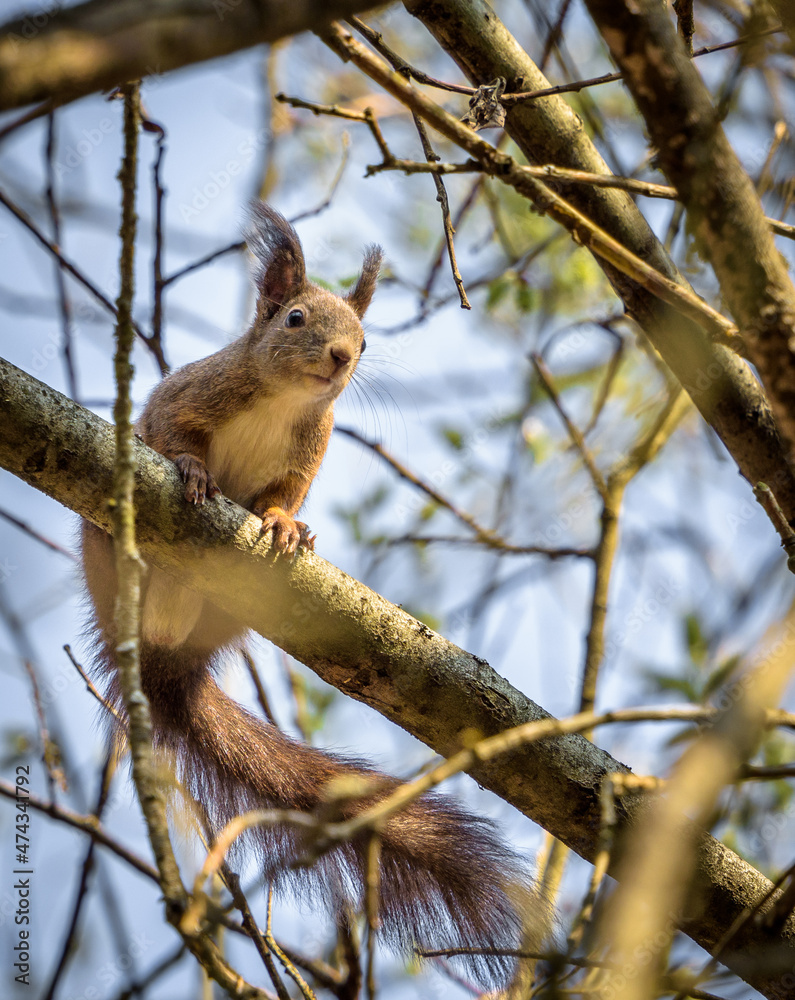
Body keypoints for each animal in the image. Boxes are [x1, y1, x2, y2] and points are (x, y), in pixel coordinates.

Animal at [80, 204, 529, 983]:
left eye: (364, 337)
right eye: (294, 318)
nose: (342, 358)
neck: (282, 398)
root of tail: (159, 648)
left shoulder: (304, 455)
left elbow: (283, 496)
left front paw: (289, 526)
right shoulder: (188, 395)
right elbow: (171, 432)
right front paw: (194, 472)